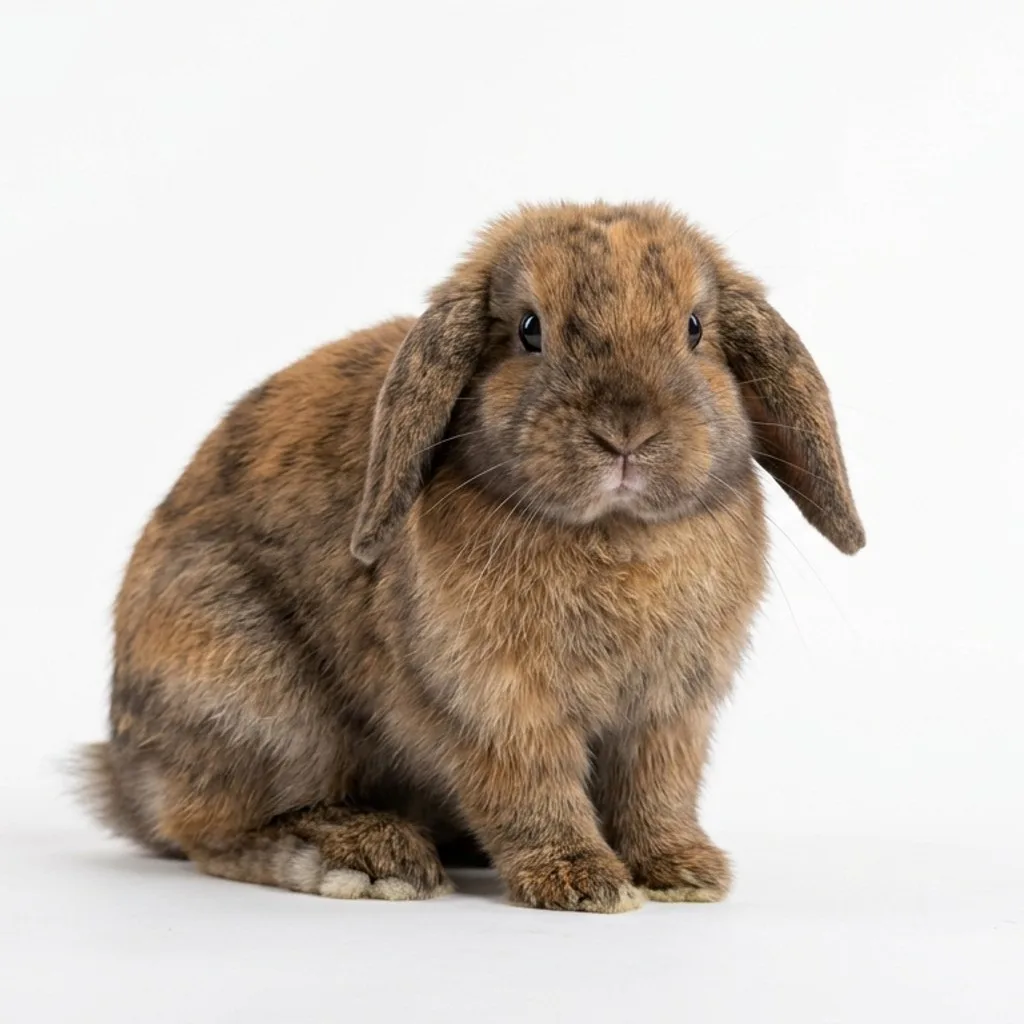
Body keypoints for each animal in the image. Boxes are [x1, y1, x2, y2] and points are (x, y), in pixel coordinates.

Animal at [77, 201, 864, 912]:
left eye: (695, 328)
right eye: (530, 330)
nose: (625, 432)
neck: (612, 530)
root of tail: (123, 776)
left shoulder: (669, 712)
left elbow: (656, 794)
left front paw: (682, 872)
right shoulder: (496, 704)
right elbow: (530, 791)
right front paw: (583, 881)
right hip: (257, 702)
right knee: (210, 830)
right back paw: (370, 859)